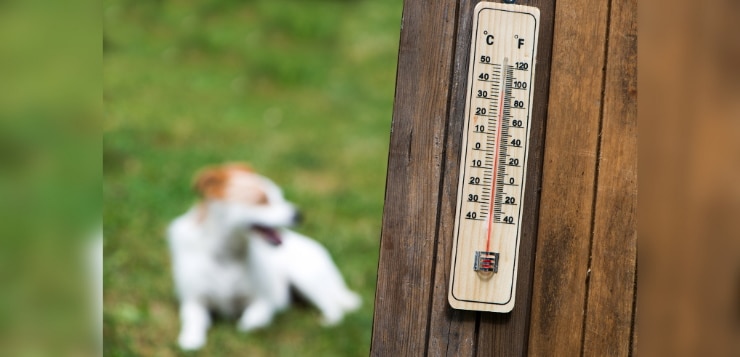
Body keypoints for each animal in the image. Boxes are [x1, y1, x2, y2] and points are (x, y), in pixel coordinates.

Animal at [165, 163, 362, 350]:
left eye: (279, 196)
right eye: (261, 200)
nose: (299, 215)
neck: (227, 254)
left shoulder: (265, 300)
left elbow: (249, 322)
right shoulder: (193, 300)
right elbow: (193, 321)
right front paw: (190, 340)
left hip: (307, 279)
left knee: (333, 306)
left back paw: (327, 321)